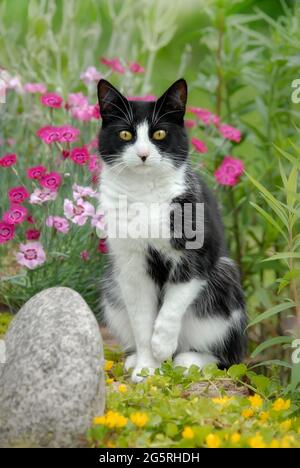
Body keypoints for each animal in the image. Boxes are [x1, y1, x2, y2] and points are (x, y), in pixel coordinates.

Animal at [97, 78, 247, 382]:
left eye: (160, 133)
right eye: (126, 134)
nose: (143, 154)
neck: (144, 193)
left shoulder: (198, 255)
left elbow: (173, 305)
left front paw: (162, 344)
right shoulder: (131, 267)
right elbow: (142, 320)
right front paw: (147, 367)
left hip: (224, 275)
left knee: (228, 357)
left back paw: (187, 359)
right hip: (111, 283)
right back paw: (137, 359)